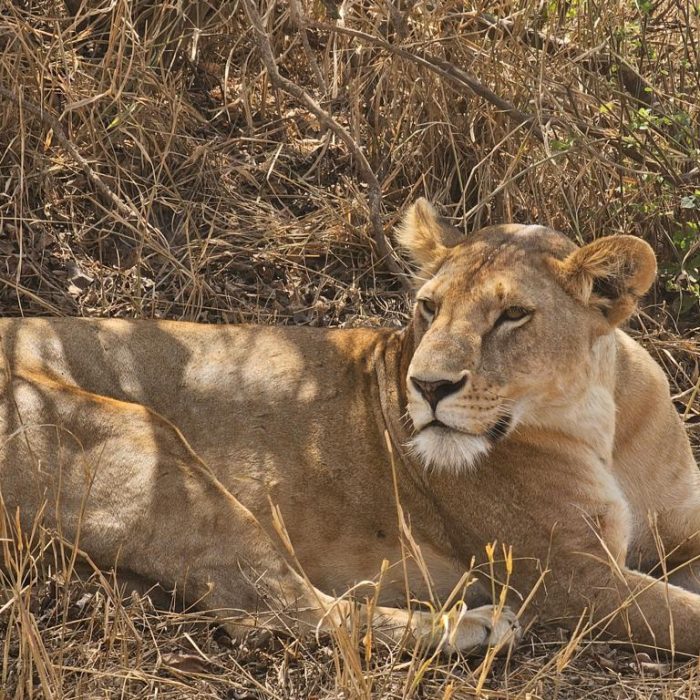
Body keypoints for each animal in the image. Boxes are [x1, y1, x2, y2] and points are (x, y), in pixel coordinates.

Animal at [1, 198, 700, 656]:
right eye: (429, 306)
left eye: (513, 315)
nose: (428, 386)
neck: (598, 414)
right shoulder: (567, 578)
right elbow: (685, 615)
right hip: (143, 436)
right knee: (269, 607)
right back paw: (467, 626)